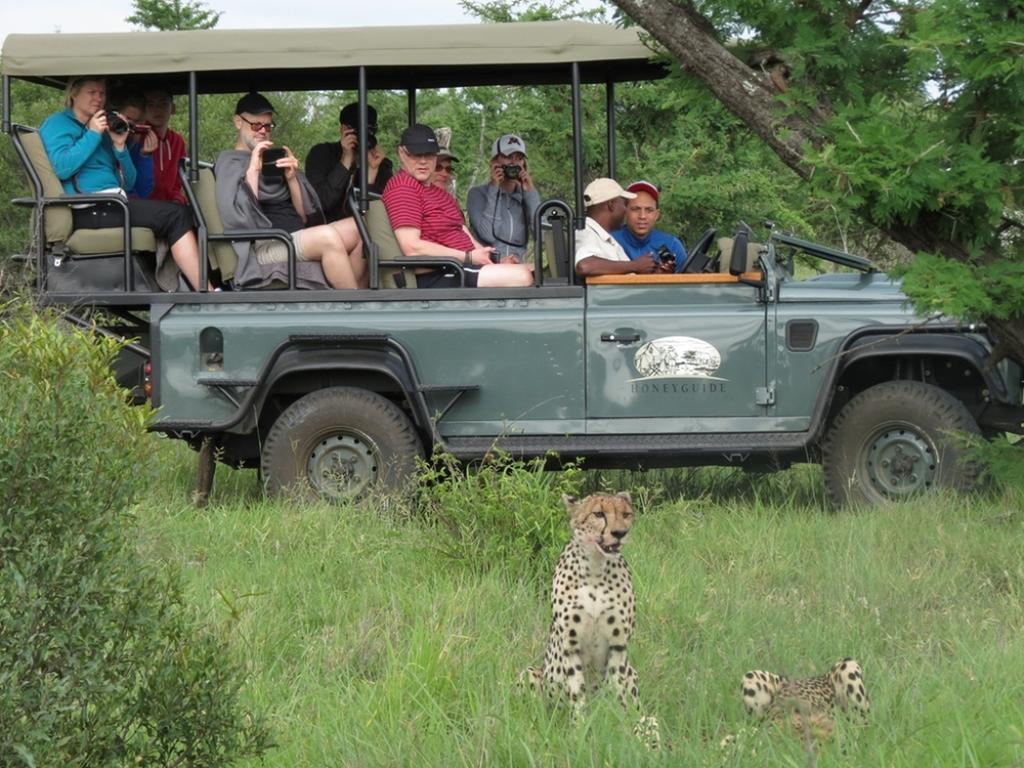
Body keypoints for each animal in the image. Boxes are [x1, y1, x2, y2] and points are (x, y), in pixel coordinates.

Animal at [524, 493, 659, 753]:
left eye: (626, 514)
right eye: (598, 514)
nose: (620, 533)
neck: (596, 568)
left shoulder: (618, 646)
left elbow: (618, 691)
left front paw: (620, 728)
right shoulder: (571, 646)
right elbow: (577, 693)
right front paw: (579, 731)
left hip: (632, 672)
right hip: (531, 674)